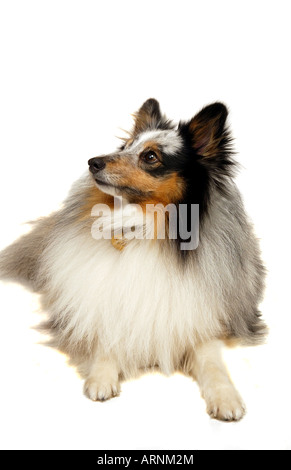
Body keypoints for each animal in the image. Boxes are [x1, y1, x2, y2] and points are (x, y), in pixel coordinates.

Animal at [0, 98, 266, 418]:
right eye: (125, 146)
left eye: (150, 156)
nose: (92, 162)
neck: (141, 229)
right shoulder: (106, 308)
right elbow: (104, 340)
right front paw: (101, 378)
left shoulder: (201, 322)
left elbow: (213, 363)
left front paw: (226, 398)